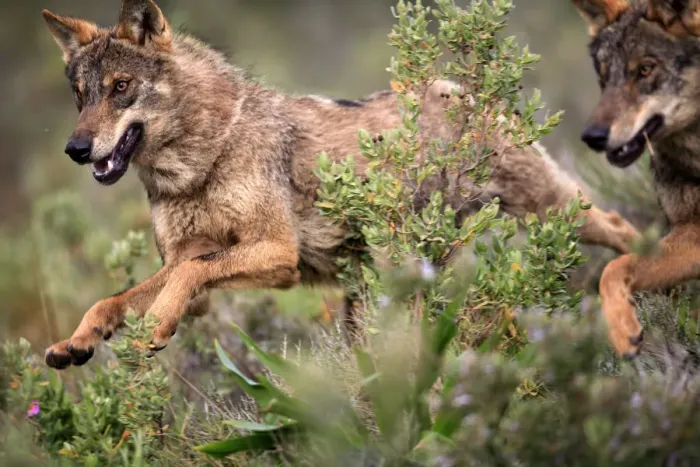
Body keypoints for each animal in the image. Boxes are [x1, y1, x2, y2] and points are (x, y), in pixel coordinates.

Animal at [40, 0, 640, 369]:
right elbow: (113, 298)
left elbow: (187, 276)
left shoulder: (275, 252)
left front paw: (156, 328)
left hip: (553, 212)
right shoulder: (186, 264)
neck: (199, 164)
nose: (74, 149)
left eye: (121, 87)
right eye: (80, 96)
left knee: (623, 228)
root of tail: (459, 86)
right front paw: (78, 340)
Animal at [571, 0, 700, 358]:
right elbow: (614, 267)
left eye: (644, 69)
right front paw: (621, 328)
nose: (593, 137)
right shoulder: (691, 232)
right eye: (603, 77)